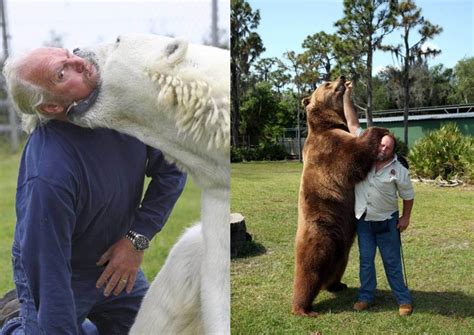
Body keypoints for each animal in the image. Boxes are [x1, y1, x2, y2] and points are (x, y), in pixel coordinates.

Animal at [292, 76, 388, 318]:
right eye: (326, 83)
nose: (343, 78)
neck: (329, 124)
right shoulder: (330, 147)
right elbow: (354, 155)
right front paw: (379, 129)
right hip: (321, 231)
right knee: (309, 270)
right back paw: (303, 308)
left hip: (343, 244)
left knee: (337, 265)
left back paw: (337, 284)